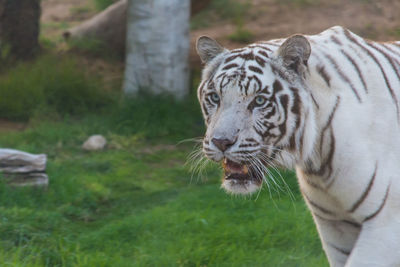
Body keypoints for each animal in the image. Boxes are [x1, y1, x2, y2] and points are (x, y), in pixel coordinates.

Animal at [195, 25, 400, 267]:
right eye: (214, 97)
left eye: (259, 101)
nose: (221, 142)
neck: (318, 158)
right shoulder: (334, 226)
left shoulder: (386, 224)